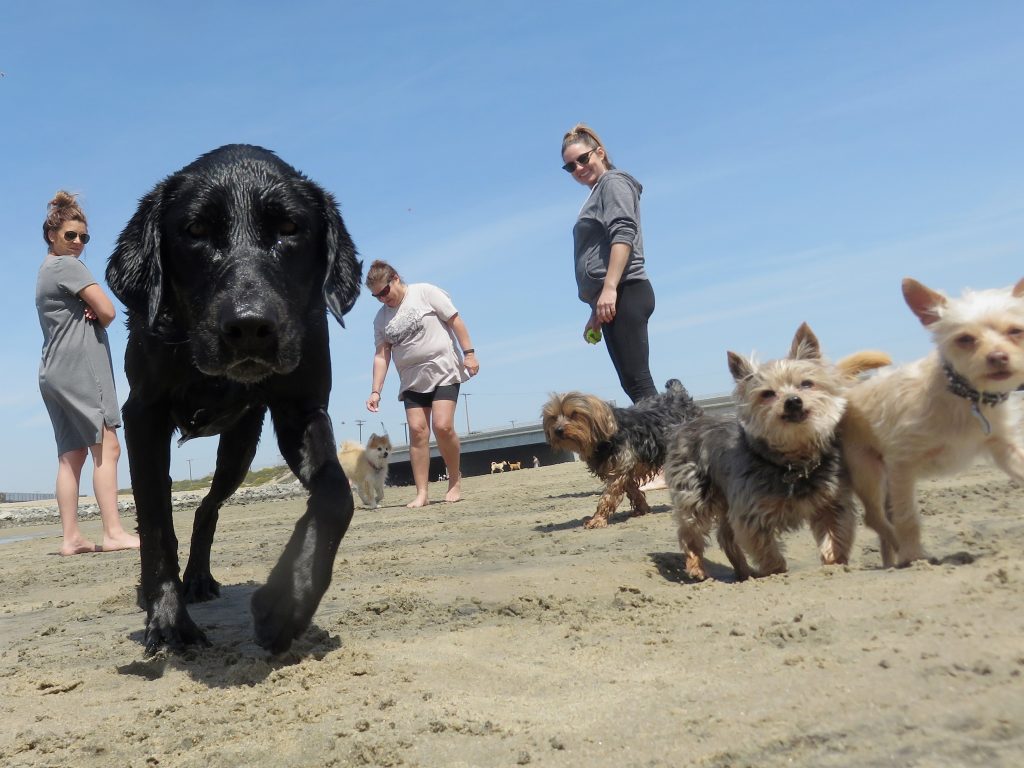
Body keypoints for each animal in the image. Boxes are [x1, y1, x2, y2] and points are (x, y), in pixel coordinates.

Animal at [540, 378, 700, 528]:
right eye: (553, 417)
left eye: (574, 414)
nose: (558, 430)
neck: (603, 439)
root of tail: (679, 395)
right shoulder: (623, 469)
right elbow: (633, 490)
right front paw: (642, 508)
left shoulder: (620, 467)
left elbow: (608, 496)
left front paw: (597, 519)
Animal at [663, 325, 888, 581]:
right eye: (768, 393)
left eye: (806, 384)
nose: (793, 401)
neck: (794, 462)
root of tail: (685, 423)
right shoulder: (750, 514)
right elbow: (767, 551)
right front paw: (776, 572)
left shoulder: (832, 503)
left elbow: (836, 535)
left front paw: (834, 563)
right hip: (695, 493)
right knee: (690, 531)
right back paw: (697, 568)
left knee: (725, 536)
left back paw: (744, 572)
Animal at [839, 280, 1024, 569]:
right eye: (965, 339)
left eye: (1016, 331)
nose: (998, 357)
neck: (966, 397)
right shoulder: (902, 464)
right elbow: (908, 517)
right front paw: (914, 556)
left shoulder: (1004, 448)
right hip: (868, 472)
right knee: (875, 517)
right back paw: (901, 551)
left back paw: (890, 560)